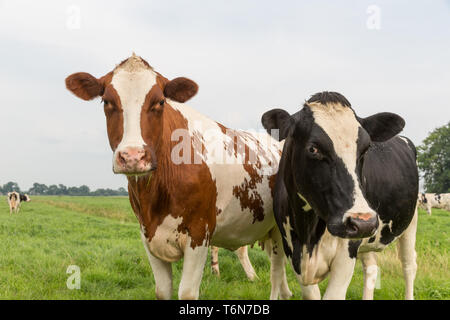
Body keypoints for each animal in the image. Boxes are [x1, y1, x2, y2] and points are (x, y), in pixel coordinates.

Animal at [66, 53, 292, 300]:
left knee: (277, 269)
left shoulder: (199, 234)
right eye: (107, 101)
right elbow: (162, 290)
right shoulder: (148, 235)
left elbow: (187, 293)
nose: (133, 156)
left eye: (160, 102)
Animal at [262, 92, 420, 300]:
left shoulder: (346, 253)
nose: (362, 222)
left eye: (365, 149)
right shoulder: (291, 250)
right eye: (313, 149)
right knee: (371, 267)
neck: (307, 236)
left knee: (409, 265)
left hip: (410, 221)